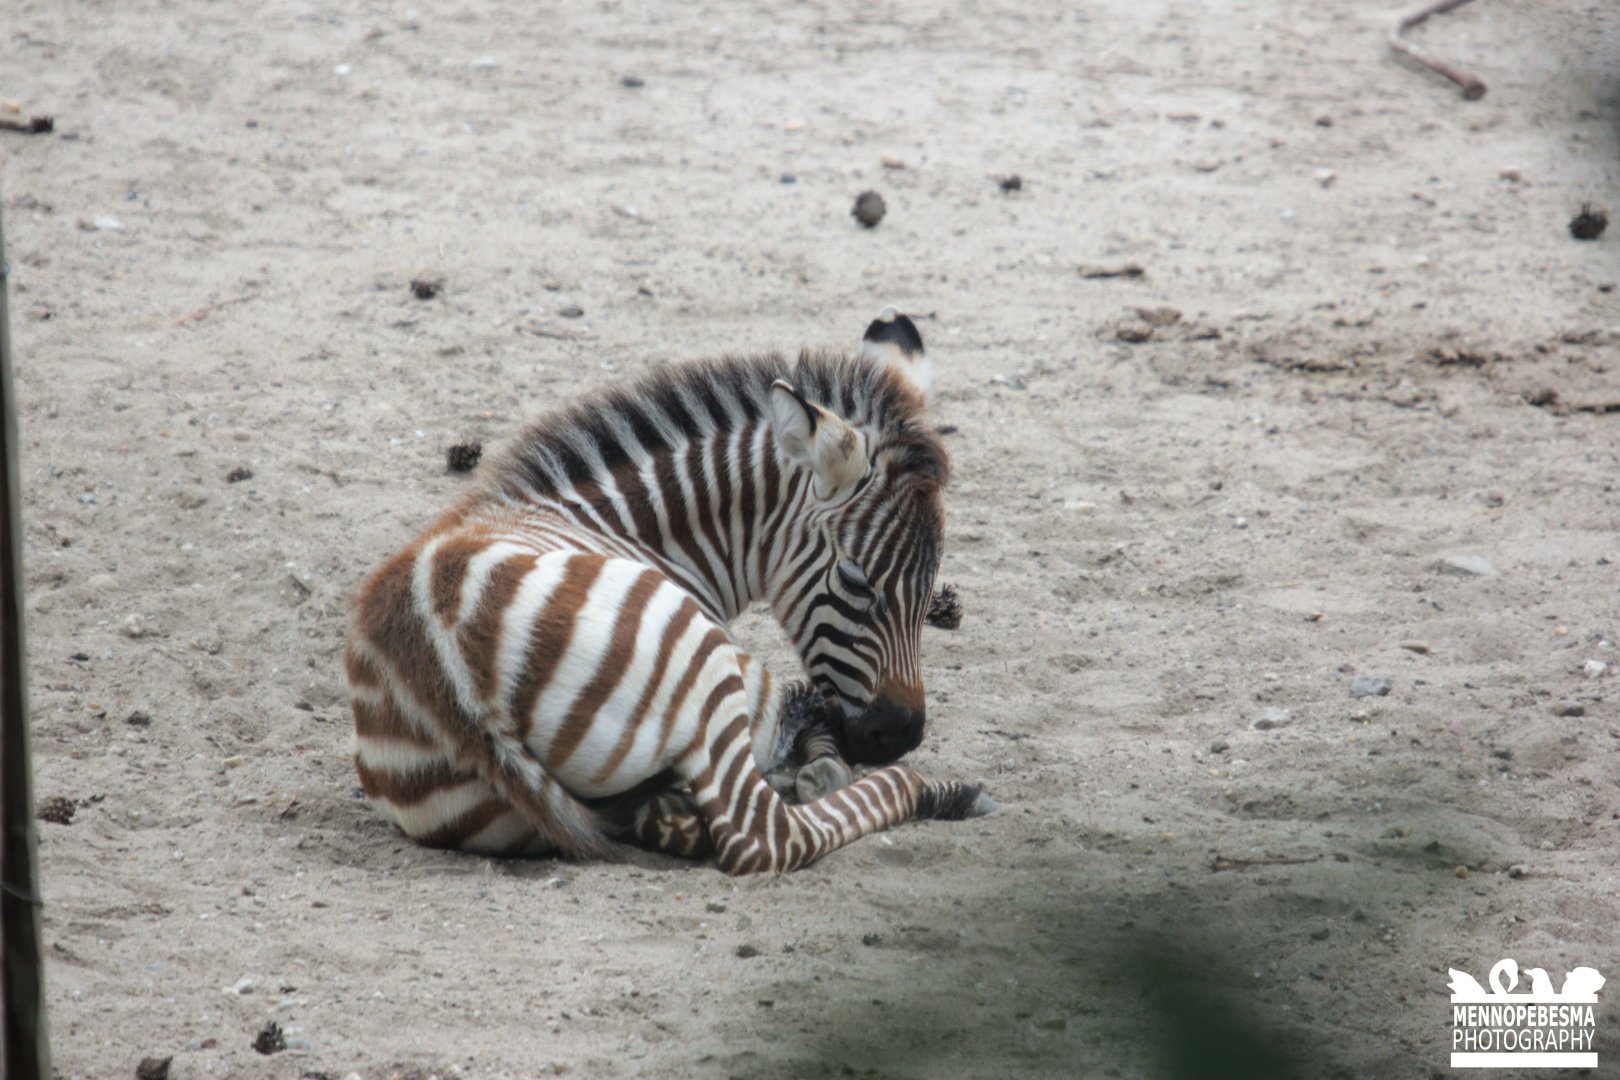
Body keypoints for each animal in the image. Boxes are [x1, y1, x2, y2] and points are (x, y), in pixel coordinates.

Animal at [344, 308, 996, 874]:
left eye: (933, 584)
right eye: (858, 579)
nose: (901, 736)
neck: (634, 527)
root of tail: (452, 675)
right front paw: (824, 764)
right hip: (705, 669)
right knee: (765, 835)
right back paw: (942, 792)